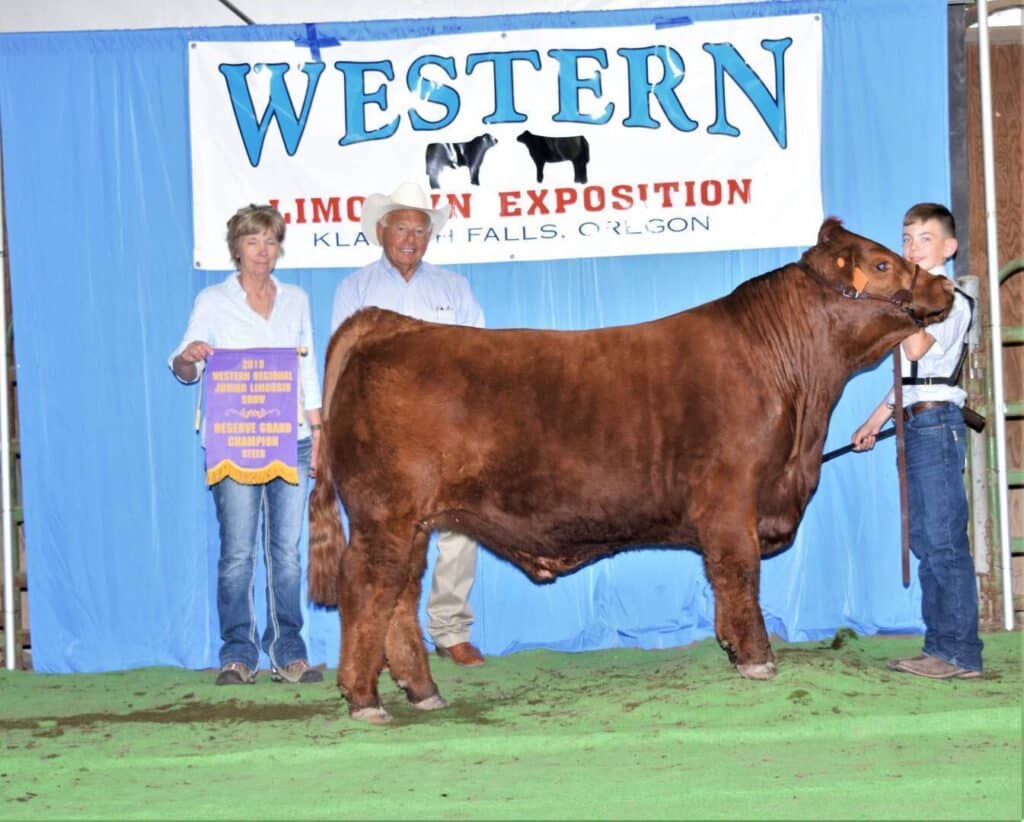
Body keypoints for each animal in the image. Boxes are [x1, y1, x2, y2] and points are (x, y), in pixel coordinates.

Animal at [308, 218, 954, 723]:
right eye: (881, 261)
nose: (945, 283)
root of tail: (391, 324)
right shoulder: (731, 503)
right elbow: (738, 576)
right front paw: (758, 660)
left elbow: (727, 585)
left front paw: (733, 650)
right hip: (385, 514)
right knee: (366, 587)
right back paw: (363, 697)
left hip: (414, 522)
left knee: (397, 596)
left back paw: (423, 692)